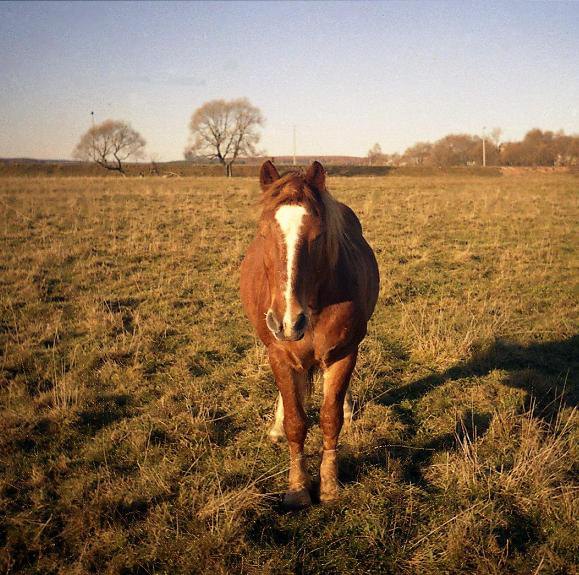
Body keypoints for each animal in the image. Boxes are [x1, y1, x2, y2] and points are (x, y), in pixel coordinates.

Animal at [240, 160, 380, 506]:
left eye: (318, 236)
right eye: (263, 232)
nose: (287, 322)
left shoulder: (344, 354)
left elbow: (330, 418)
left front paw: (329, 484)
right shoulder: (279, 356)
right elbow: (296, 421)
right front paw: (298, 487)